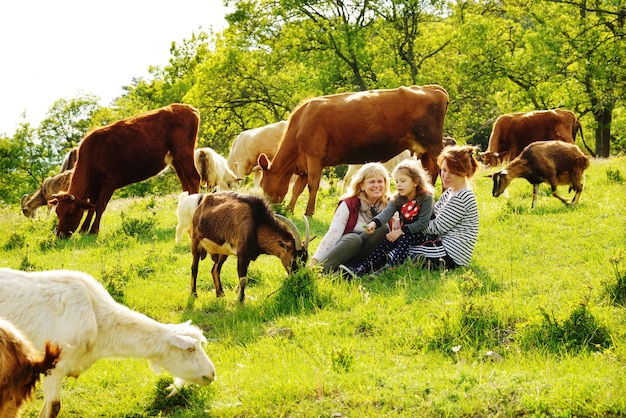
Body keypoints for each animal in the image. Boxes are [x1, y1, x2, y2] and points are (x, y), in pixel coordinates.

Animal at [52, 103, 202, 237]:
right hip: (176, 159)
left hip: (184, 153)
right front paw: (83, 230)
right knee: (185, 182)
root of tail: (188, 108)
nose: (60, 235)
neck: (91, 154)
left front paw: (93, 231)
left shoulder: (109, 181)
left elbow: (100, 206)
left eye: (69, 213)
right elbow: (91, 206)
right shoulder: (95, 188)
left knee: (193, 178)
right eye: (57, 212)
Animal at [256, 84, 446, 216]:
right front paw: (290, 209)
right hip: (425, 150)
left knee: (442, 170)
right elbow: (297, 188)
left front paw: (308, 212)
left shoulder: (314, 157)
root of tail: (431, 88)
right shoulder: (304, 163)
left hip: (433, 145)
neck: (300, 123)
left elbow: (312, 185)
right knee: (430, 172)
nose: (271, 208)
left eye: (263, 185)